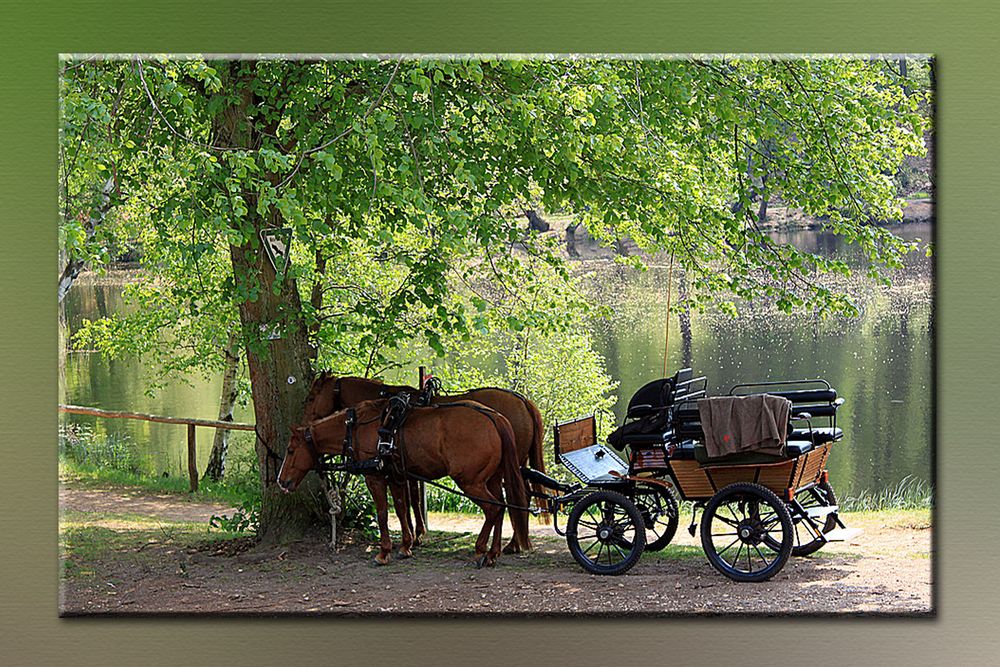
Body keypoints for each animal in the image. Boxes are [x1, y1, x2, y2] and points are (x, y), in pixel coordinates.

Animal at [278, 400, 528, 568]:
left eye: (290, 450)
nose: (282, 481)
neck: (357, 427)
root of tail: (493, 417)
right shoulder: (396, 477)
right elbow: (400, 510)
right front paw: (406, 546)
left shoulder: (375, 478)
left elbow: (382, 514)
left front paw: (384, 552)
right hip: (491, 480)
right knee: (501, 508)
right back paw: (493, 553)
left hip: (470, 482)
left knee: (493, 509)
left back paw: (480, 550)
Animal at [304, 376, 548, 552]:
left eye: (311, 397)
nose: (305, 423)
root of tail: (523, 402)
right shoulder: (407, 471)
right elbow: (409, 501)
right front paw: (414, 535)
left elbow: (410, 501)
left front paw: (415, 536)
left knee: (519, 497)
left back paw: (513, 543)